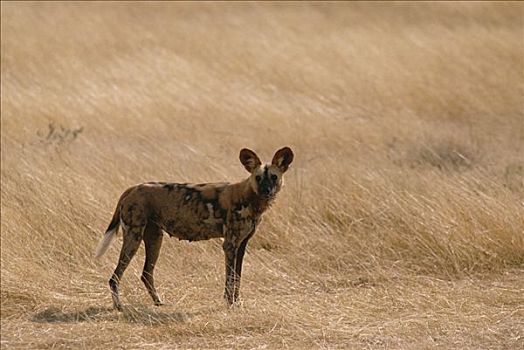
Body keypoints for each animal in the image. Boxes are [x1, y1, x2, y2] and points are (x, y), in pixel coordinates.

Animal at [94, 146, 294, 310]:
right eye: (258, 178)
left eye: (273, 177)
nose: (266, 191)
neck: (250, 199)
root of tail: (133, 188)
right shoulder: (230, 245)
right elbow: (230, 279)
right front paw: (230, 304)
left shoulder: (241, 246)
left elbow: (237, 278)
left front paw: (237, 302)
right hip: (133, 237)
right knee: (114, 277)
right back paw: (119, 306)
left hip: (154, 239)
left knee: (146, 274)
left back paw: (158, 302)